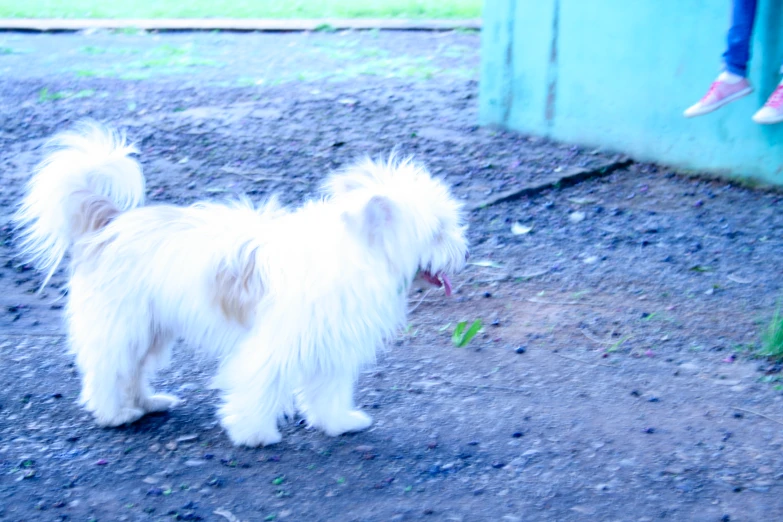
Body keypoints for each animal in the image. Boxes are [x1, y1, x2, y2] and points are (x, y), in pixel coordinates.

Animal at [15, 122, 468, 442]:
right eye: (438, 231)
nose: (462, 246)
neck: (357, 251)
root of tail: (110, 222)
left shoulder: (331, 343)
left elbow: (330, 390)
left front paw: (337, 422)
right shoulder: (274, 344)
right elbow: (260, 384)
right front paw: (254, 433)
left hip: (152, 329)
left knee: (133, 370)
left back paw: (148, 402)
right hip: (123, 324)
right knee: (108, 368)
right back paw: (115, 413)